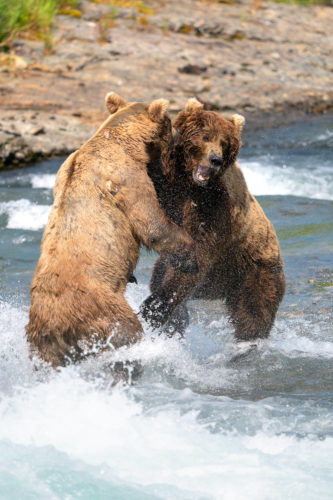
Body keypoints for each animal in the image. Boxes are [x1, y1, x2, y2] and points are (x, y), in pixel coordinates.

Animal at [27, 94, 197, 368]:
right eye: (171, 123)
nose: (179, 134)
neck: (125, 141)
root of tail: (55, 325)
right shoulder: (126, 176)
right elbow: (151, 222)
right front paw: (190, 254)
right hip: (104, 310)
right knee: (127, 331)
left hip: (43, 343)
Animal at [141, 97, 286, 340]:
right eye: (206, 136)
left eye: (224, 142)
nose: (215, 159)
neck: (191, 184)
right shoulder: (168, 188)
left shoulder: (216, 211)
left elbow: (196, 257)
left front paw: (152, 309)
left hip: (255, 270)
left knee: (253, 313)